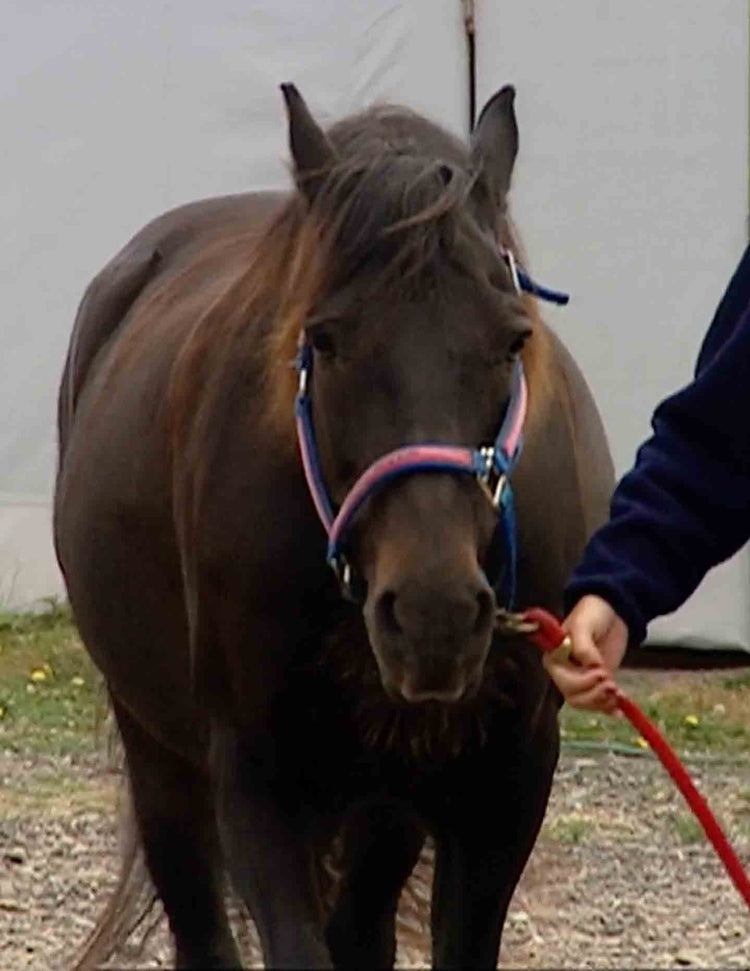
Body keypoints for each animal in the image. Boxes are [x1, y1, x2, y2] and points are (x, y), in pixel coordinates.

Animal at [54, 85, 616, 971]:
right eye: (323, 338)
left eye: (513, 338)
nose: (433, 615)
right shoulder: (257, 777)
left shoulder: (506, 783)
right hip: (157, 749)